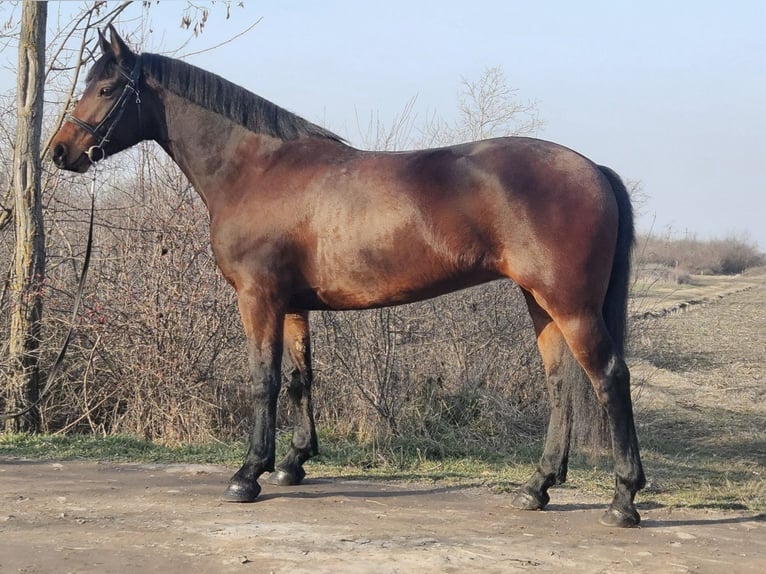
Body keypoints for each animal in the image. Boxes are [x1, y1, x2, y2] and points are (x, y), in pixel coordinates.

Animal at [49, 28, 648, 532]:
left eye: (106, 87)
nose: (60, 151)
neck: (256, 170)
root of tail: (593, 169)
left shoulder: (258, 298)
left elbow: (263, 380)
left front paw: (248, 474)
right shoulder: (292, 304)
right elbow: (299, 378)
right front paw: (293, 463)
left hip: (570, 304)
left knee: (609, 378)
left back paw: (623, 500)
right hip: (540, 301)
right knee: (561, 384)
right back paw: (538, 487)